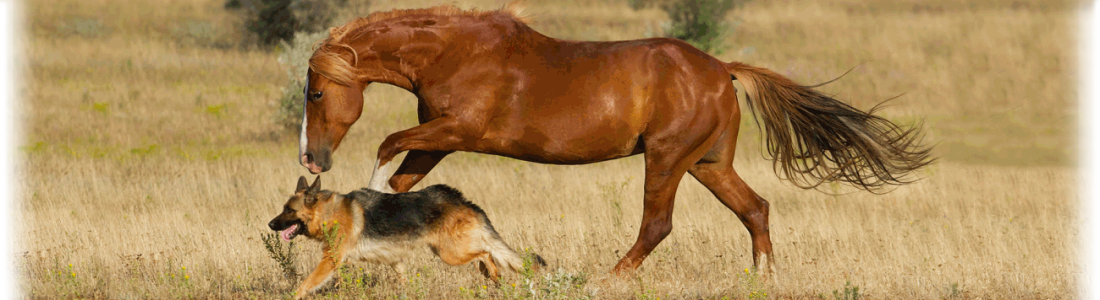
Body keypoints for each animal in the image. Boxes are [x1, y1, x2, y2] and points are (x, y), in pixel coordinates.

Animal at [266, 174, 541, 296]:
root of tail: (461, 199)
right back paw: (491, 277)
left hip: (449, 253)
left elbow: (305, 284)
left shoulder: (331, 260)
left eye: (289, 210)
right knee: (487, 254)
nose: (270, 224)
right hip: (450, 251)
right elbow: (403, 279)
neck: (327, 213)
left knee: (485, 253)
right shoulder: (394, 260)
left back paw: (493, 275)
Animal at [297, 4, 932, 275]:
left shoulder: (458, 130)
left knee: (658, 225)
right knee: (755, 209)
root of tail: (721, 70)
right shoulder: (438, 139)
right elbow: (404, 175)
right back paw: (762, 279)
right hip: (706, 162)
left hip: (668, 158)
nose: (311, 157)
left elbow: (385, 146)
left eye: (317, 93)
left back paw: (610, 278)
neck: (457, 50)